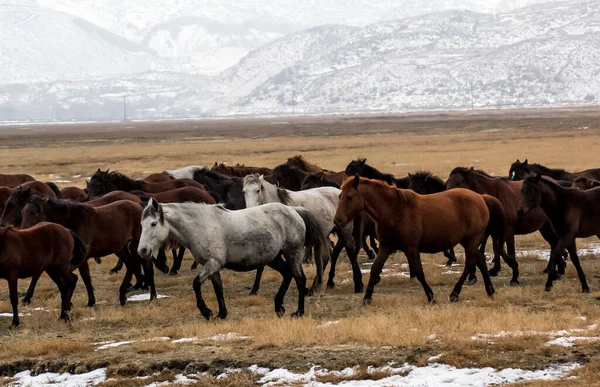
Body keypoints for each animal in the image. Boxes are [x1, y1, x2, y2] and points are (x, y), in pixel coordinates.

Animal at [20, 199, 152, 308]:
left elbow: (78, 277)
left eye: (33, 212)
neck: (74, 222)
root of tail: (138, 206)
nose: (24, 231)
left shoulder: (79, 258)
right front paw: (90, 301)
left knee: (145, 264)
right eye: (22, 212)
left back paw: (151, 294)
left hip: (136, 243)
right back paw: (124, 294)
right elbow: (85, 278)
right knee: (131, 264)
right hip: (121, 249)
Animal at [138, 199, 326, 320]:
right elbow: (218, 289)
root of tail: (294, 211)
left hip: (292, 254)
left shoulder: (213, 263)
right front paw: (221, 314)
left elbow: (196, 283)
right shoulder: (212, 266)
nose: (142, 250)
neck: (201, 226)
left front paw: (206, 311)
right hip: (274, 258)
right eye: (141, 224)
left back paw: (299, 312)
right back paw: (278, 306)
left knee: (299, 278)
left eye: (153, 224)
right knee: (287, 274)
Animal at [330, 176, 494, 306]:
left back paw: (455, 293)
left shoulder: (411, 248)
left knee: (470, 263)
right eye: (339, 196)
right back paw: (490, 290)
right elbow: (375, 269)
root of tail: (481, 198)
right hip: (467, 241)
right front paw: (367, 298)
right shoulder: (385, 247)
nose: (337, 221)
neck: (395, 211)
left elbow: (419, 272)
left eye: (349, 197)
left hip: (471, 240)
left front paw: (431, 296)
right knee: (480, 259)